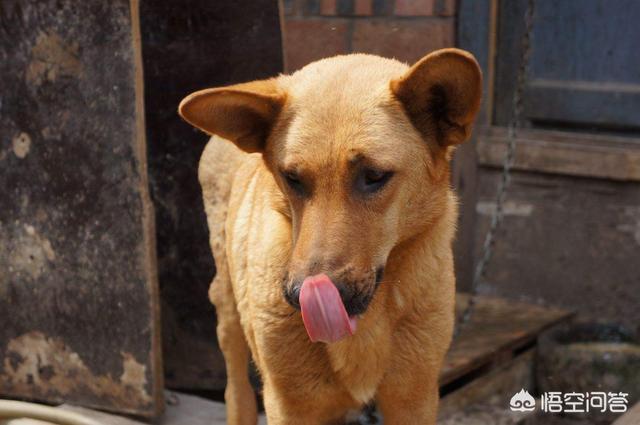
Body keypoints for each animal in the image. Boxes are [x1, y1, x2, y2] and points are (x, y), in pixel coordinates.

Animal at [179, 48, 480, 422]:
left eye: (374, 176)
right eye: (291, 178)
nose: (300, 297)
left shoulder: (414, 399)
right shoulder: (290, 406)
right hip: (228, 309)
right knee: (236, 390)